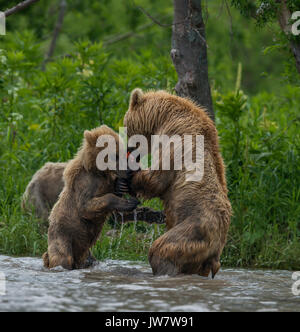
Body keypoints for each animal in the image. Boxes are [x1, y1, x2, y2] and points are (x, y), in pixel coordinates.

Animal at [43, 125, 139, 270]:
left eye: (122, 153)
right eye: (114, 155)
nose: (129, 170)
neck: (97, 170)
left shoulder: (103, 181)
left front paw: (121, 186)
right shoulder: (85, 183)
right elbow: (86, 207)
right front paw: (129, 202)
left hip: (84, 251)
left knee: (89, 259)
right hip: (63, 236)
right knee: (63, 257)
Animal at [124, 88, 232, 278]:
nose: (129, 150)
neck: (162, 116)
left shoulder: (174, 138)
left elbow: (157, 178)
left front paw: (131, 175)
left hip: (192, 229)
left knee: (162, 250)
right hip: (202, 254)